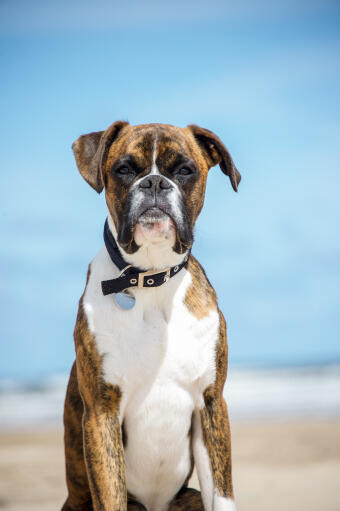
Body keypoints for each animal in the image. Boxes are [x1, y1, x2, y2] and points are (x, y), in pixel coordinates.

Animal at [61, 121, 242, 511]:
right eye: (124, 169)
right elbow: (110, 494)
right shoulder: (102, 413)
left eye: (185, 170)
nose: (155, 183)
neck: (152, 278)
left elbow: (222, 493)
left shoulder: (210, 404)